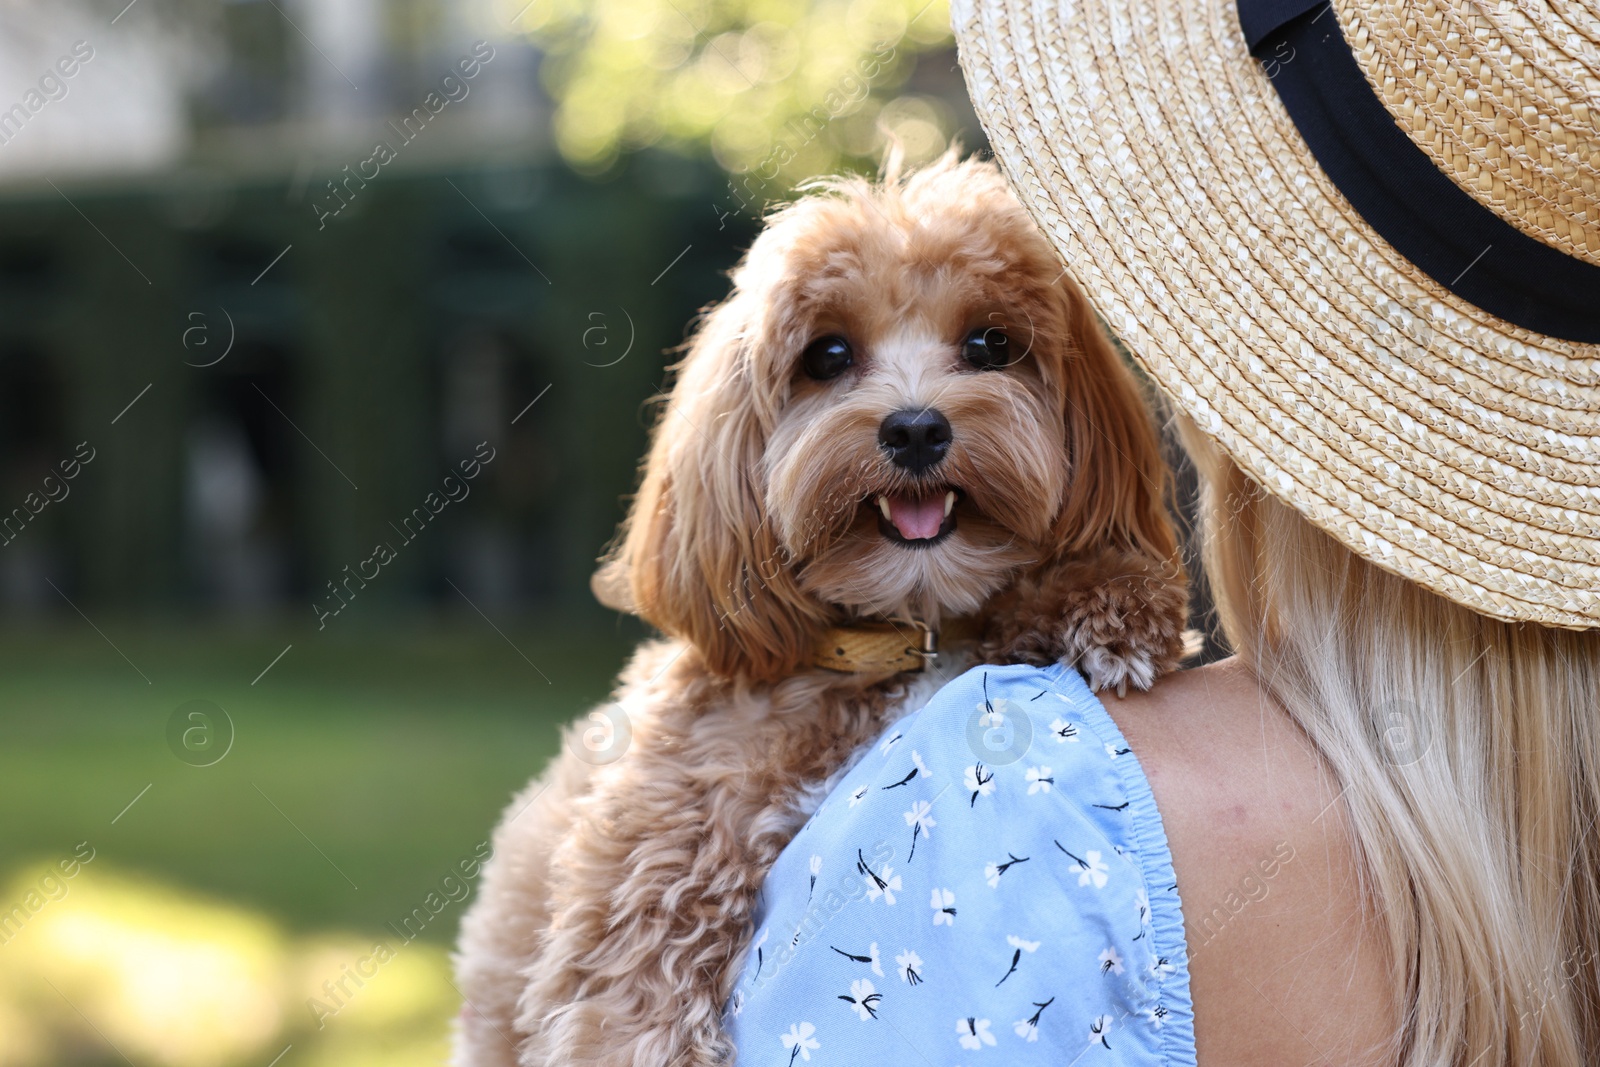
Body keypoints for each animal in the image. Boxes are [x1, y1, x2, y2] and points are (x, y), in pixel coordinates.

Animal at [451, 151, 1190, 1067]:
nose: (916, 429)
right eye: (828, 354)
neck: (899, 636)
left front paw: (1117, 600)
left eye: (991, 343)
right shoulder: (655, 836)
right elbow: (626, 982)